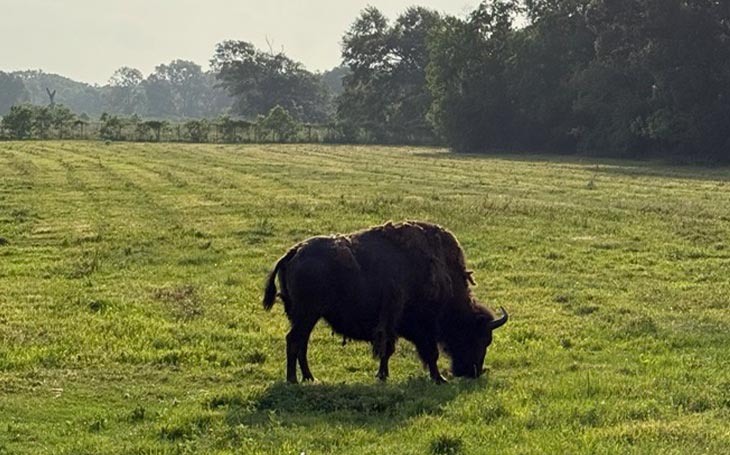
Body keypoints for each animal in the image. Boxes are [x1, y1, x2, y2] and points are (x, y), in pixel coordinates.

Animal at [263, 221, 508, 383]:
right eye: (480, 338)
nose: (473, 372)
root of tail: (294, 252)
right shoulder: (422, 328)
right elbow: (429, 353)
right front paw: (439, 379)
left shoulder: (394, 325)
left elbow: (388, 350)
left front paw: (383, 375)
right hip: (307, 315)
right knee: (294, 341)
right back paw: (294, 380)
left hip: (306, 317)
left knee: (300, 343)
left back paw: (309, 378)